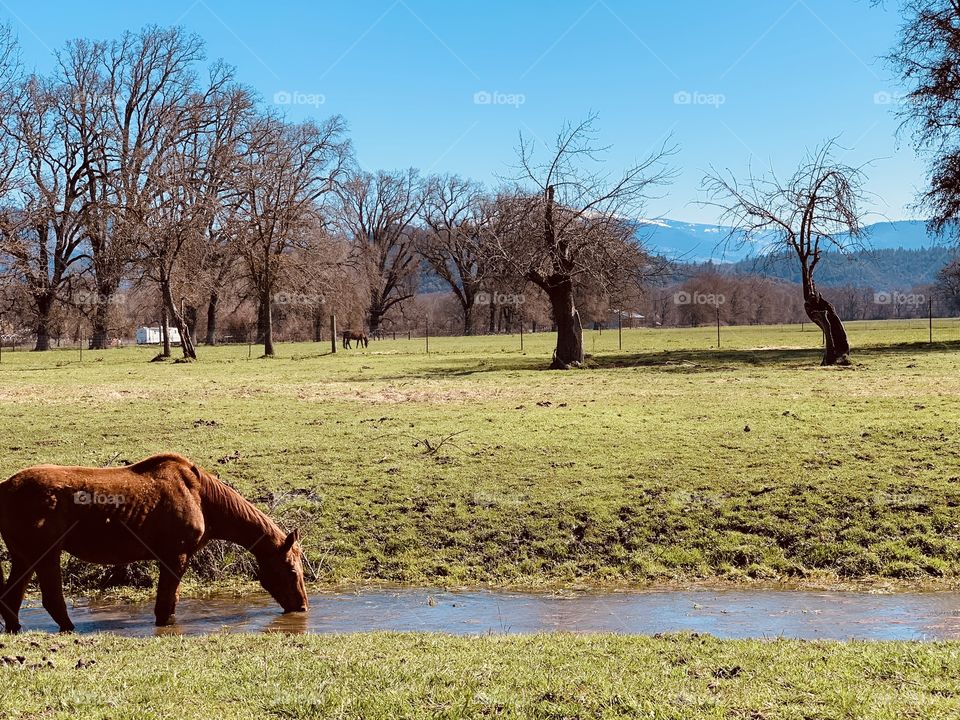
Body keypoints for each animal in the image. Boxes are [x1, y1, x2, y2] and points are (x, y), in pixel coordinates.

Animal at [0, 453, 307, 633]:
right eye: (292, 570)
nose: (302, 606)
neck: (202, 498)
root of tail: (4, 488)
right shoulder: (175, 556)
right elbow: (165, 604)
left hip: (23, 557)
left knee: (10, 599)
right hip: (45, 554)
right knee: (52, 600)